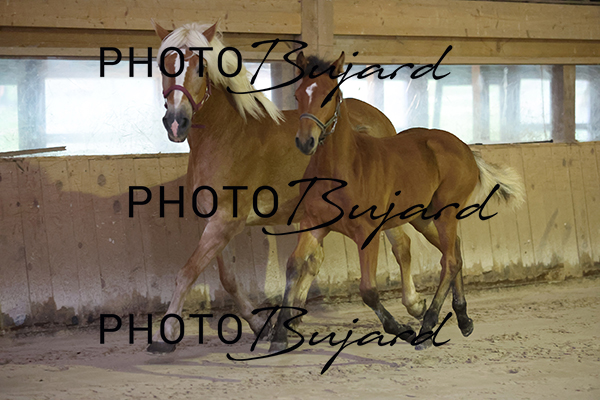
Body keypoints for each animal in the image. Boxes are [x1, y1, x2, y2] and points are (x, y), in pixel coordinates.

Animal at [148, 21, 426, 353]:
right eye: (163, 64)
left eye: (200, 66)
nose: (176, 122)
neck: (226, 135)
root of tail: (381, 120)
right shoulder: (214, 221)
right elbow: (228, 278)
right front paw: (261, 326)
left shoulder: (226, 221)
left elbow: (187, 272)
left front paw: (165, 336)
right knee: (313, 261)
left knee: (402, 246)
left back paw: (415, 305)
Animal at [269, 52, 525, 351]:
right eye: (297, 95)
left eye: (329, 96)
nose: (305, 141)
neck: (343, 167)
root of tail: (465, 148)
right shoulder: (314, 224)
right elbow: (294, 266)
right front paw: (279, 335)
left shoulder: (367, 231)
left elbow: (368, 290)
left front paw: (402, 329)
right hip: (422, 216)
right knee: (455, 252)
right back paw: (463, 319)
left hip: (446, 213)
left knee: (450, 261)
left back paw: (427, 328)